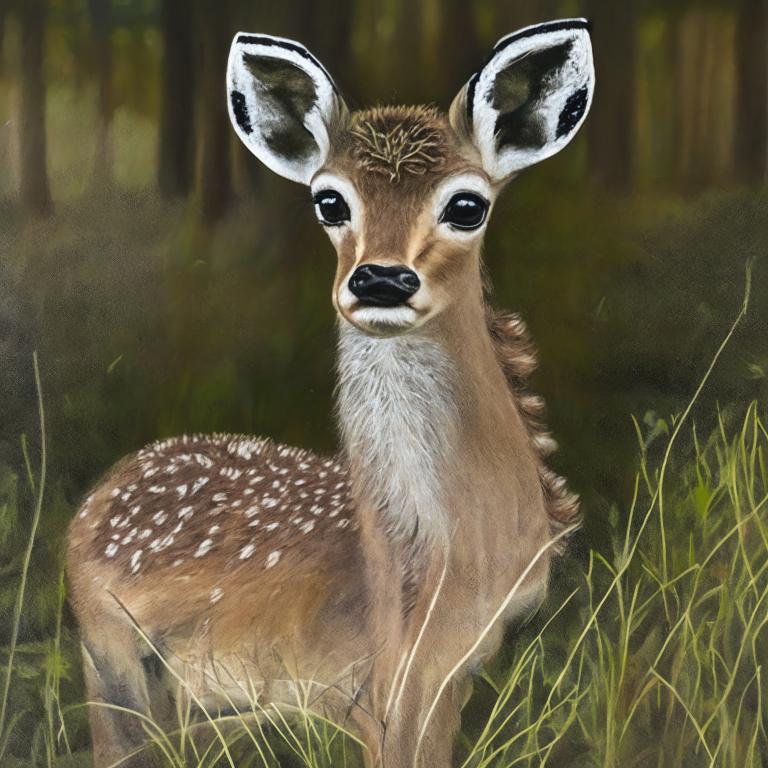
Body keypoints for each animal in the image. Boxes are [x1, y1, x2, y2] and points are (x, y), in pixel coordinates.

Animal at [66, 18, 594, 768]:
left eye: (468, 205)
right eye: (330, 200)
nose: (381, 278)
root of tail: (97, 495)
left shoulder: (445, 679)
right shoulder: (370, 693)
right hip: (108, 658)